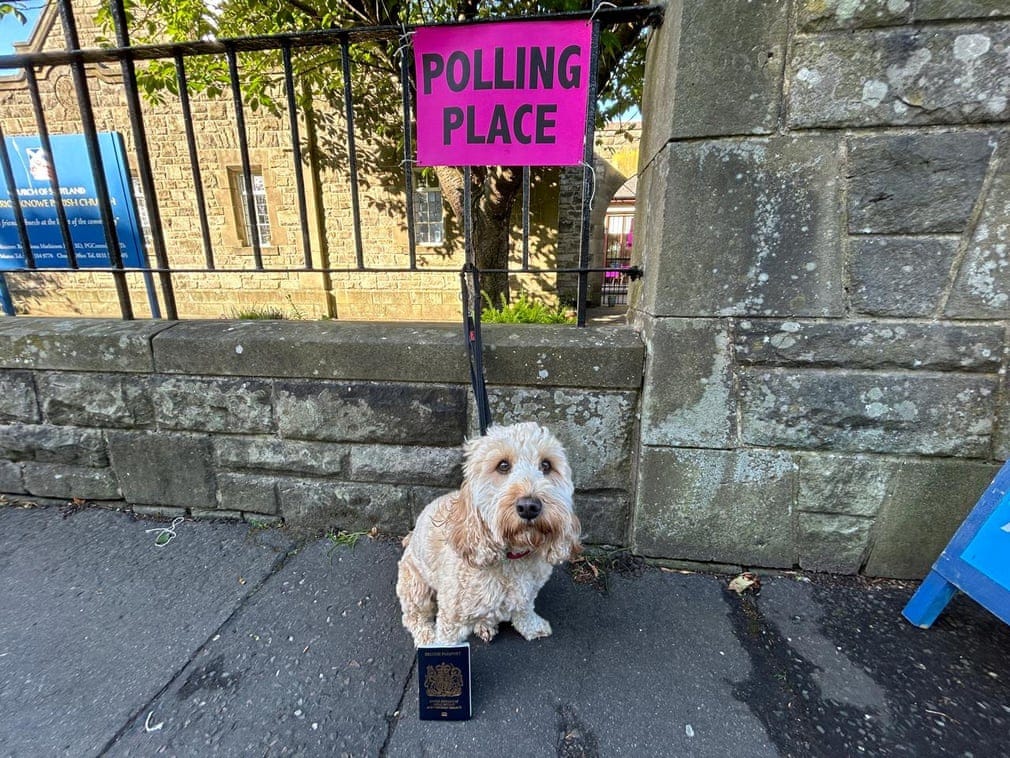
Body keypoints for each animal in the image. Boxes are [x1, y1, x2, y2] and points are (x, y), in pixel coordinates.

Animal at [395, 422, 581, 646]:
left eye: (546, 465)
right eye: (503, 465)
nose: (529, 506)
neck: (512, 557)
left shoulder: (527, 594)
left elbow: (525, 610)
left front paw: (532, 626)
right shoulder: (451, 619)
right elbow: (446, 641)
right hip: (415, 586)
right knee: (414, 616)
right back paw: (427, 636)